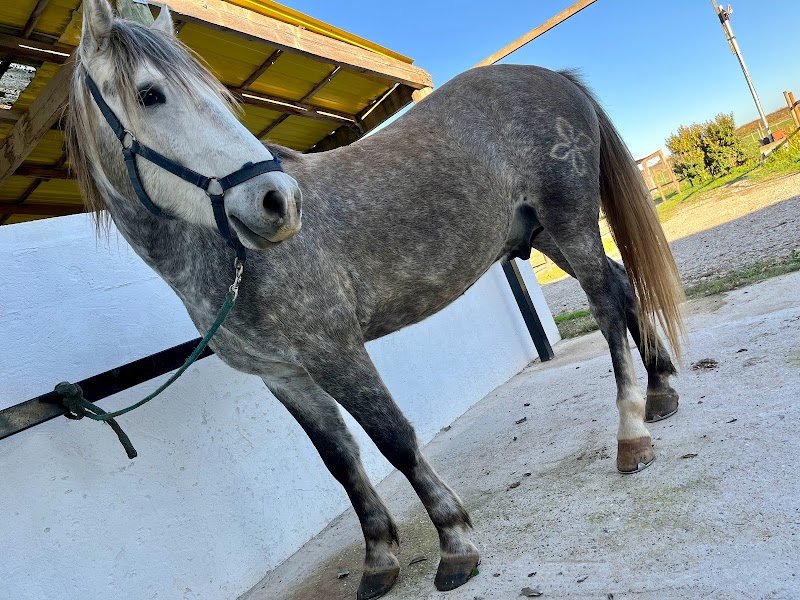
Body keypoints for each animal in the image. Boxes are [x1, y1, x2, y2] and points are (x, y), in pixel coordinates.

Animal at [67, 1, 685, 598]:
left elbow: (394, 440)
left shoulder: (338, 353)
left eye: (219, 99)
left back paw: (632, 435)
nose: (278, 201)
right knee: (620, 285)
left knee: (605, 303)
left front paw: (454, 544)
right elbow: (341, 463)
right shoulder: (285, 378)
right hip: (547, 234)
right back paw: (659, 393)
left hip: (570, 222)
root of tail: (554, 78)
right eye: (150, 95)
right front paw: (379, 559)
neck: (227, 256)